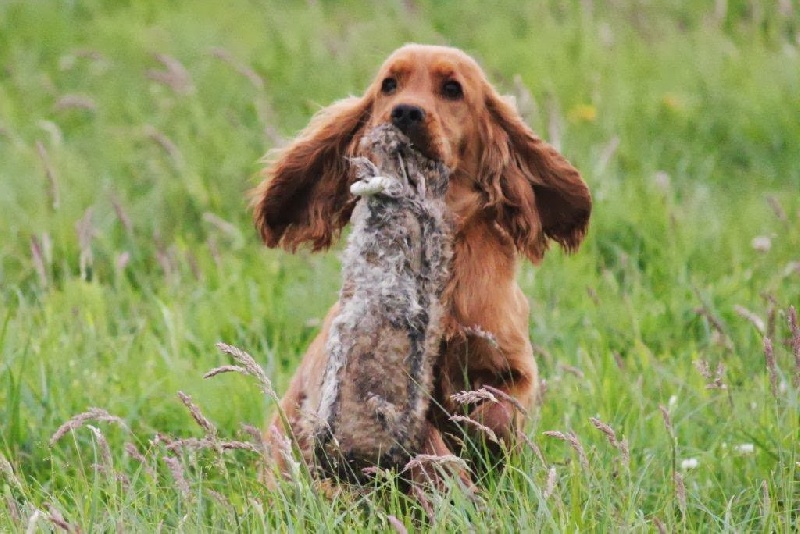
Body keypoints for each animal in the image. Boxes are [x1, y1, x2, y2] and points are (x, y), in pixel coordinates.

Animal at [252, 44, 591, 483]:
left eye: (452, 89)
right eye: (389, 85)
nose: (406, 113)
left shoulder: (512, 364)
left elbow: (498, 412)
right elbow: (428, 441)